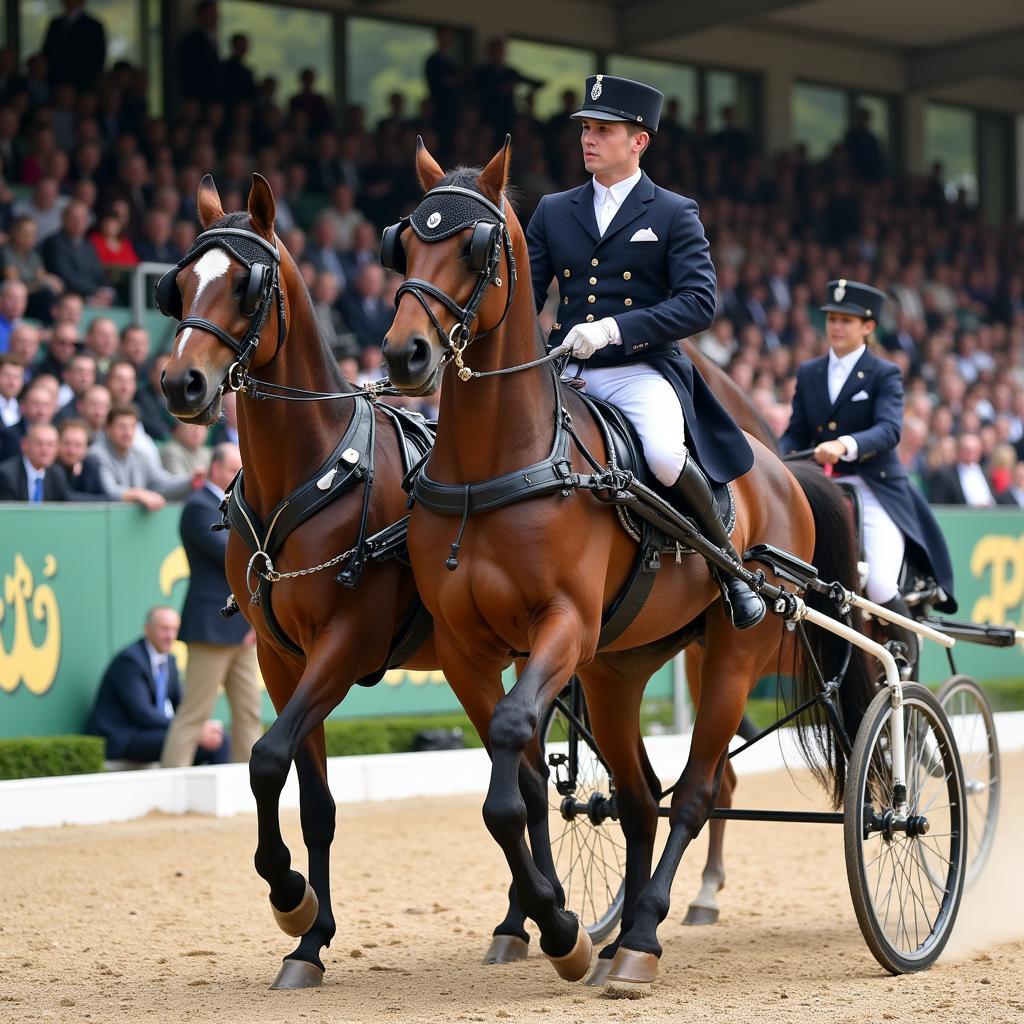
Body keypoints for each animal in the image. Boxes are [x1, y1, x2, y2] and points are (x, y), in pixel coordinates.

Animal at [380, 140, 876, 987]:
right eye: (405, 241)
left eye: (475, 248)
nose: (405, 353)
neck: (498, 464)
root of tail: (781, 470)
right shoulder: (467, 649)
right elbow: (517, 787)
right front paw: (550, 924)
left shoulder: (564, 630)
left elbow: (514, 762)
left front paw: (559, 927)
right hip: (618, 670)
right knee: (642, 796)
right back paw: (618, 940)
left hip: (728, 659)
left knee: (698, 793)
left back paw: (641, 938)